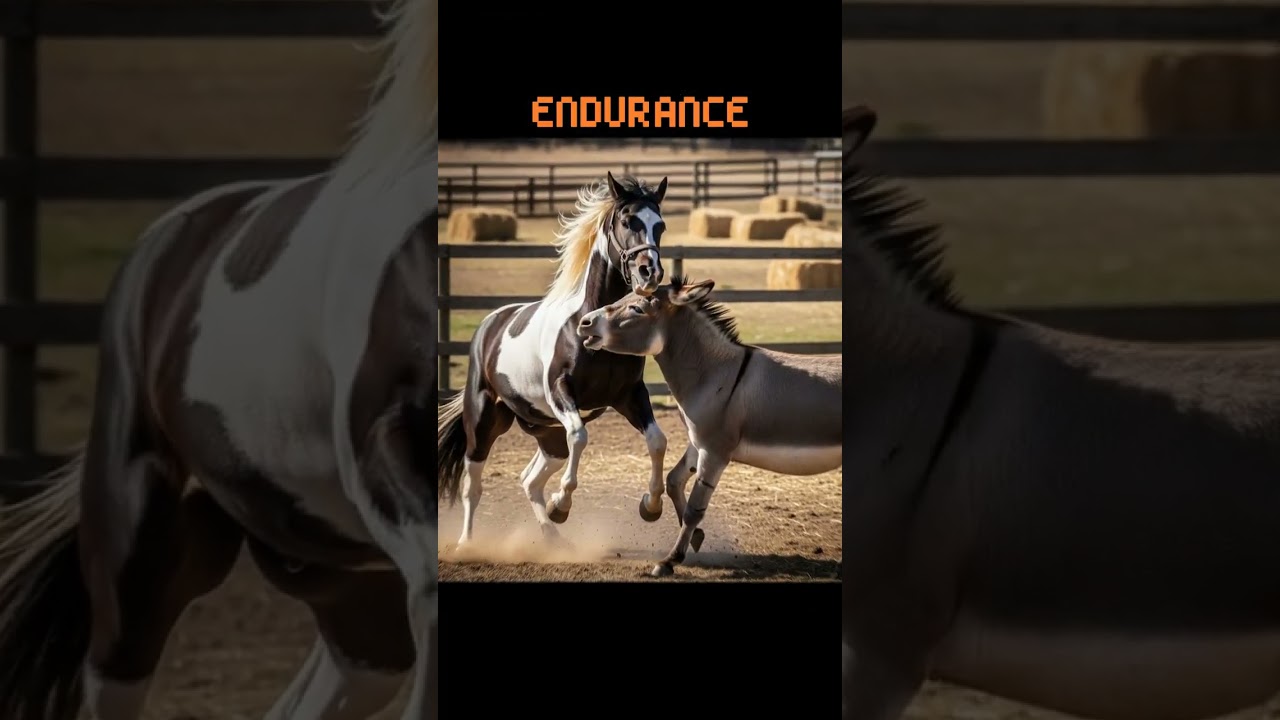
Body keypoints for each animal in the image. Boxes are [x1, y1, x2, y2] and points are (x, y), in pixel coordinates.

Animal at [437, 172, 669, 549]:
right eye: (627, 221)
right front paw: (562, 504)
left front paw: (651, 505)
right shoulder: (561, 393)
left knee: (529, 480)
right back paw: (467, 544)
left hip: (547, 435)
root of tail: (489, 325)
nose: (650, 272)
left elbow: (657, 441)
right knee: (473, 485)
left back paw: (552, 538)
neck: (590, 325)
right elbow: (580, 437)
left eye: (659, 225)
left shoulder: (630, 395)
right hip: (484, 422)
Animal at [577, 275, 842, 577]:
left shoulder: (715, 453)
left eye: (637, 309)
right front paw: (695, 537)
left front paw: (670, 560)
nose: (584, 322)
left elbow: (695, 507)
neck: (715, 374)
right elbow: (673, 481)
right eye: (625, 297)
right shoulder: (697, 443)